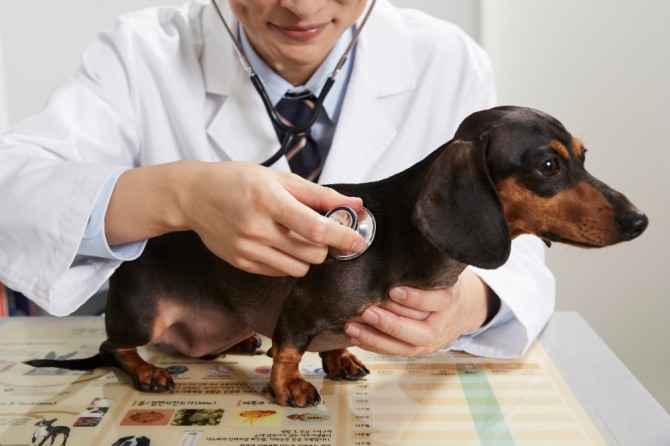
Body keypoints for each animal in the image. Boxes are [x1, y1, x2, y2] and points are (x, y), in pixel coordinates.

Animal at [27, 105, 652, 408]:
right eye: (548, 165)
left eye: (583, 156)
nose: (640, 220)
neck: (403, 238)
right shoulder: (300, 309)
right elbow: (289, 348)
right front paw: (290, 387)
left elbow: (330, 343)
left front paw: (340, 358)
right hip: (143, 314)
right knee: (115, 347)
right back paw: (149, 371)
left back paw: (236, 342)